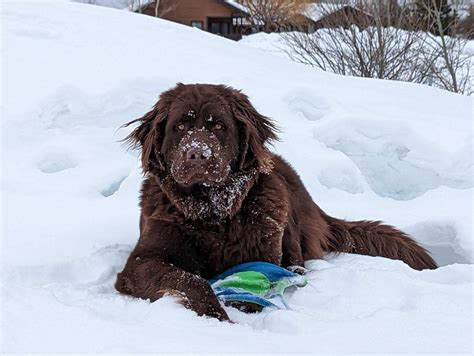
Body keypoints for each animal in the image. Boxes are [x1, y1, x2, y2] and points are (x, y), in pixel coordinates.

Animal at [115, 84, 436, 322]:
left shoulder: (262, 251)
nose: (198, 155)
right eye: (180, 126)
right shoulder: (142, 261)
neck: (212, 213)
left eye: (218, 127)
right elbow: (190, 280)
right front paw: (217, 315)